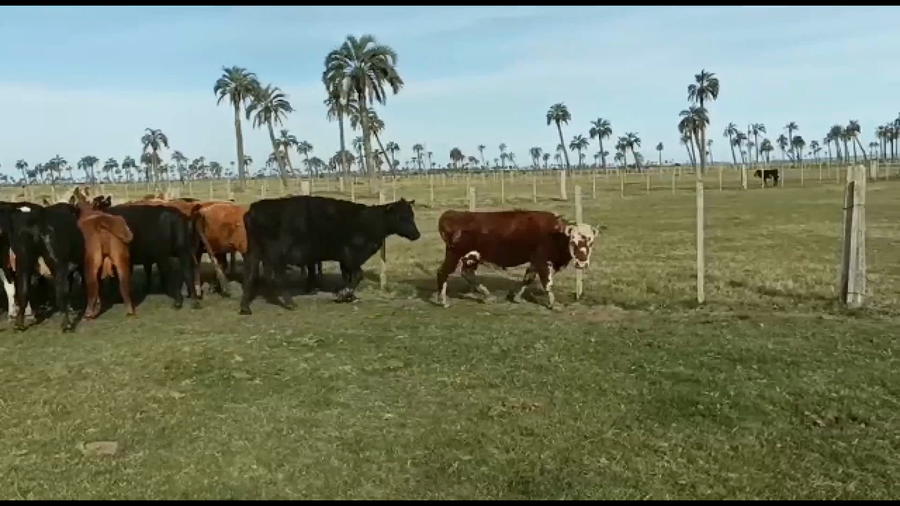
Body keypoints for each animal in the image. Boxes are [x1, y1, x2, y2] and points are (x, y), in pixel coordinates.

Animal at [239, 196, 421, 315]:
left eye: (412, 215)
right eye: (402, 217)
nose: (417, 234)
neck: (367, 221)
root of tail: (254, 209)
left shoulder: (344, 259)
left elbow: (348, 276)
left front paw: (349, 296)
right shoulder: (350, 255)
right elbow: (357, 274)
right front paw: (343, 294)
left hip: (253, 252)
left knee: (250, 275)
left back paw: (245, 308)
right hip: (276, 255)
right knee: (275, 278)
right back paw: (290, 304)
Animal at [435, 210, 600, 309]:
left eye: (591, 242)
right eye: (573, 241)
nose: (581, 263)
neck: (555, 233)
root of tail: (453, 214)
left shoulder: (534, 261)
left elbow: (527, 278)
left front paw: (516, 297)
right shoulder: (542, 260)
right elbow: (548, 283)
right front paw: (553, 304)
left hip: (471, 257)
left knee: (467, 273)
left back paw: (487, 295)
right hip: (454, 255)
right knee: (442, 273)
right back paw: (443, 301)